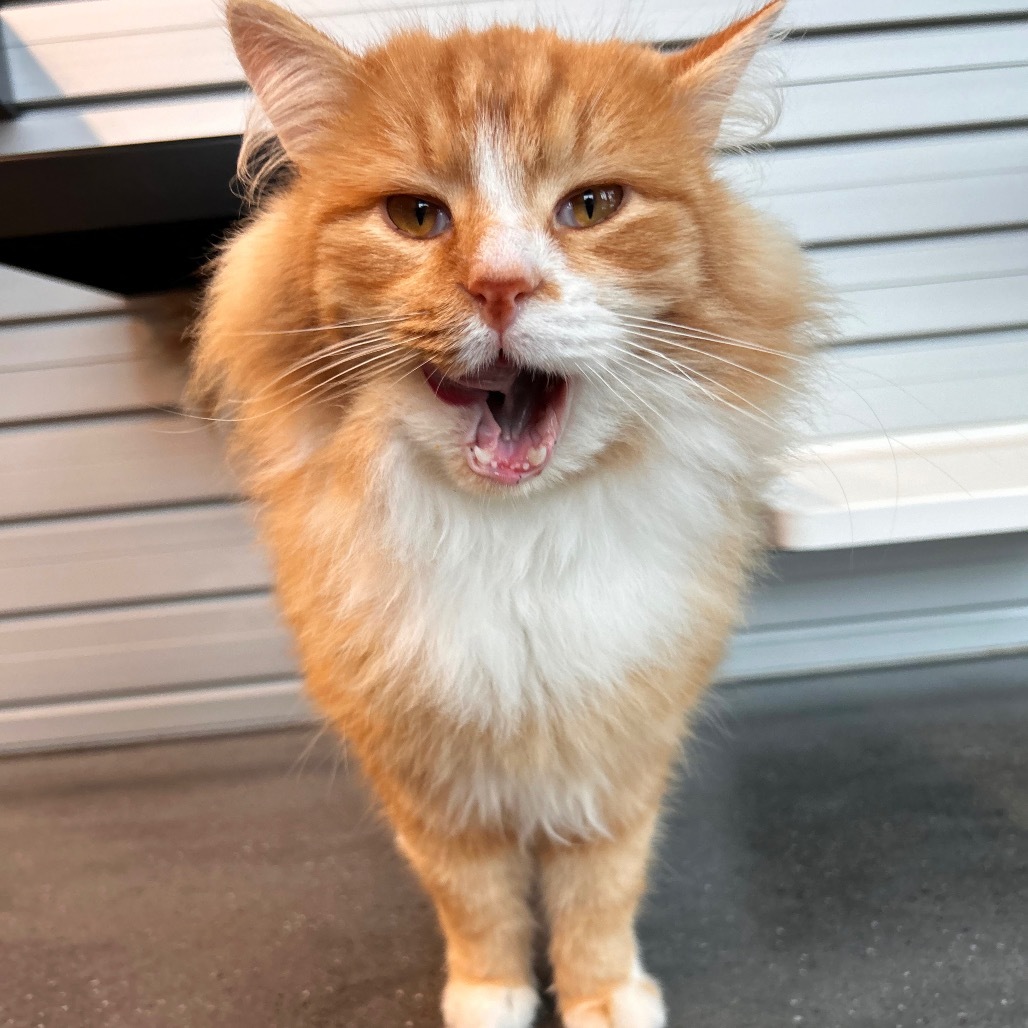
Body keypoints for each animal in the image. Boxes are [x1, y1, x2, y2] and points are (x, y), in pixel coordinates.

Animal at [191, 4, 818, 1023]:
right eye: (416, 217)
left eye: (591, 207)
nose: (500, 286)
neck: (515, 538)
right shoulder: (425, 779)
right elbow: (476, 906)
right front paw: (490, 998)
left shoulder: (619, 753)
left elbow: (599, 896)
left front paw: (604, 998)